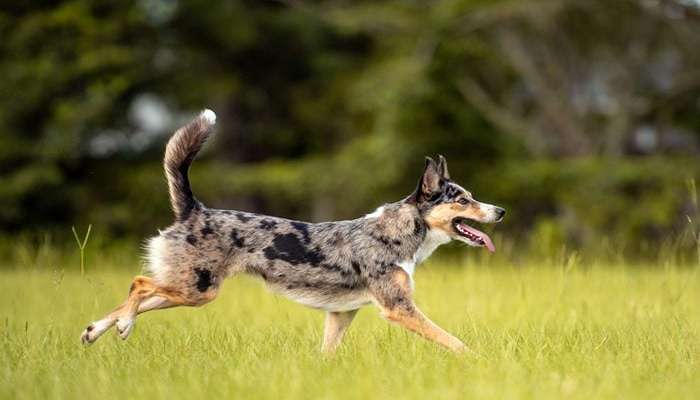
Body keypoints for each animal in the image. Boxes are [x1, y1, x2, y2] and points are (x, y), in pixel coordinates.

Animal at [80, 109, 504, 354]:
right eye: (463, 200)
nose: (500, 211)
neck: (397, 233)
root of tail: (194, 209)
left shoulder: (341, 314)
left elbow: (326, 354)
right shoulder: (399, 308)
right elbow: (454, 342)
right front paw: (480, 363)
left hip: (190, 289)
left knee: (139, 295)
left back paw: (99, 329)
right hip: (197, 289)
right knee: (138, 284)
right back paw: (123, 325)